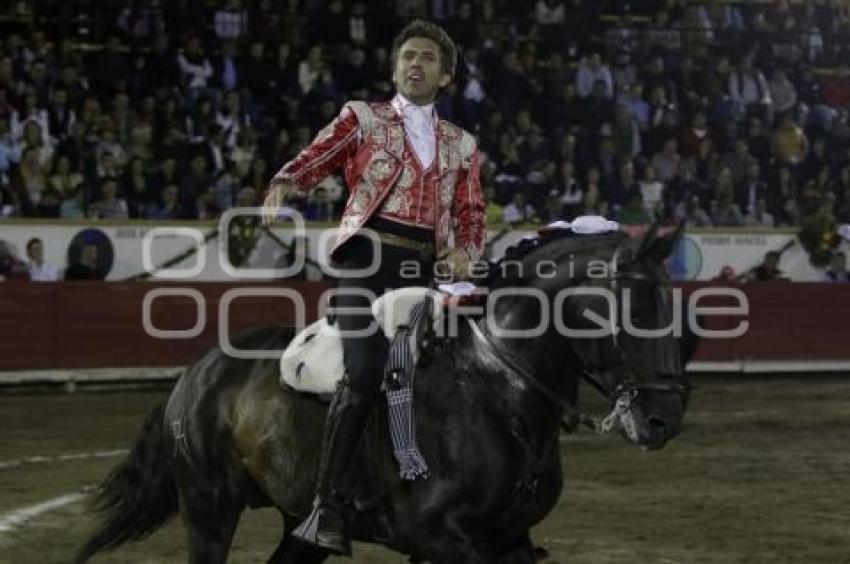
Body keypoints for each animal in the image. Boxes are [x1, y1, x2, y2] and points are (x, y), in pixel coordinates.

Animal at [78, 226, 688, 564]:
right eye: (636, 304)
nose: (665, 419)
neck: (497, 390)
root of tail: (193, 376)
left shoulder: (509, 538)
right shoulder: (443, 540)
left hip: (295, 528)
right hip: (208, 509)